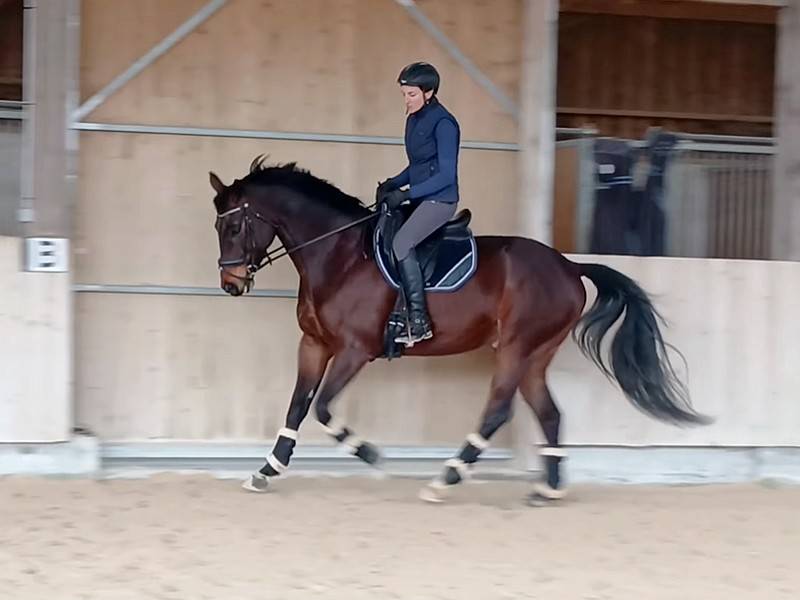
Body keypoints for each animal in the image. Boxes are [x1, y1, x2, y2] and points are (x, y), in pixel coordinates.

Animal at [209, 156, 710, 505]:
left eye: (234, 226)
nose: (231, 284)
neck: (339, 255)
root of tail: (569, 266)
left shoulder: (354, 350)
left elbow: (324, 409)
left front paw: (370, 453)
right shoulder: (314, 344)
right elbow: (298, 405)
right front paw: (267, 471)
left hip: (515, 347)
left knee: (498, 411)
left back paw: (446, 479)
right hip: (535, 355)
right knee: (549, 414)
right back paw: (547, 489)